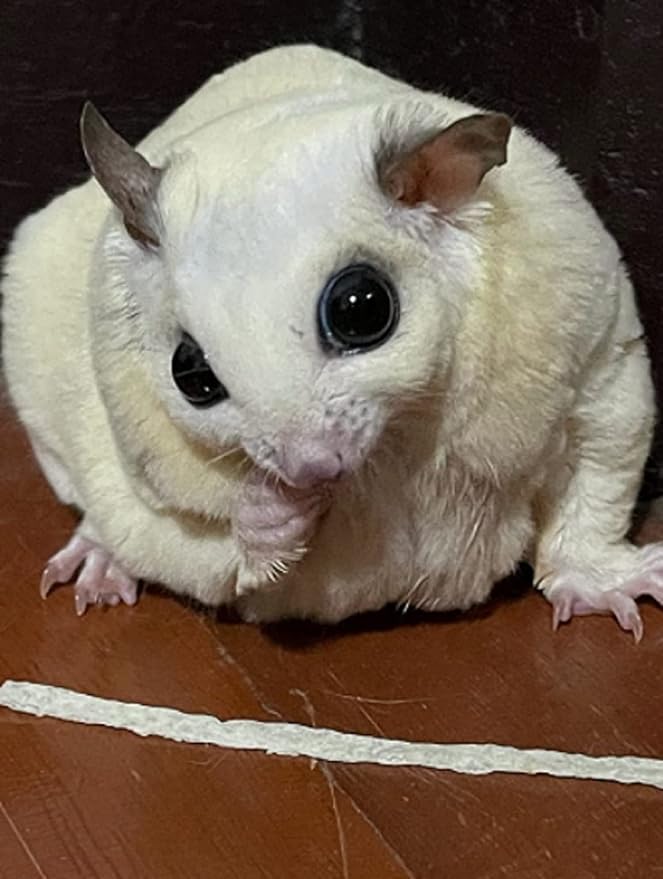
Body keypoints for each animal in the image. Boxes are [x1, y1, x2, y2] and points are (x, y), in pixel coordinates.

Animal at [3, 44, 661, 637]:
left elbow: (597, 476)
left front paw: (612, 583)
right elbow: (207, 551)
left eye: (362, 309)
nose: (311, 470)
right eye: (190, 375)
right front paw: (274, 512)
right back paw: (99, 559)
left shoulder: (597, 359)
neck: (397, 437)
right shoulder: (150, 477)